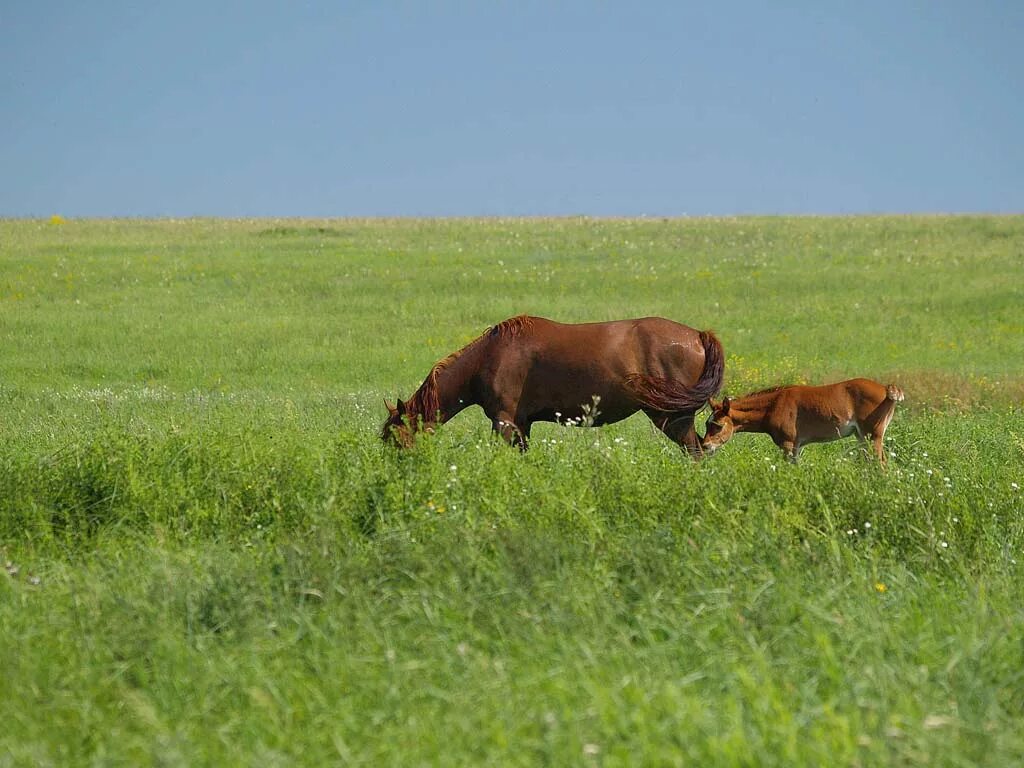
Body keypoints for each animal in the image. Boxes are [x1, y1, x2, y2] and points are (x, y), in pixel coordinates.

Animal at [380, 313, 724, 456]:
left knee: (696, 453)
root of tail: (698, 336)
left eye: (394, 438)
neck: (490, 356)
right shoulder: (522, 424)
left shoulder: (505, 422)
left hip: (671, 418)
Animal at [704, 380, 905, 466]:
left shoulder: (788, 444)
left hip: (872, 436)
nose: (705, 446)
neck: (774, 404)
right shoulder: (797, 446)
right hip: (862, 437)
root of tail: (886, 388)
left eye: (718, 426)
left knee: (881, 463)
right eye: (707, 424)